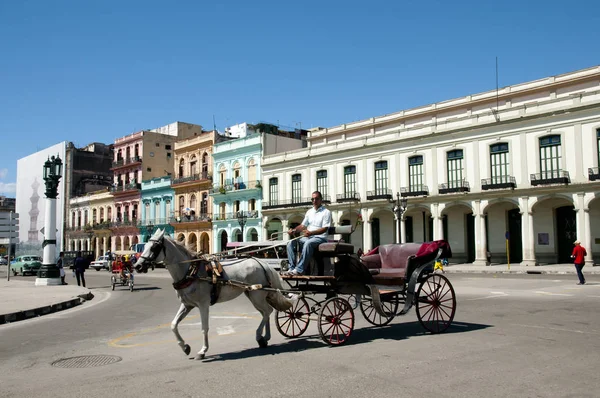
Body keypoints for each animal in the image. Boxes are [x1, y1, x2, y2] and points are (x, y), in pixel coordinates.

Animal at [136, 227, 296, 360]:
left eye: (154, 247)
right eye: (144, 245)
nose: (137, 266)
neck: (191, 271)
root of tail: (262, 263)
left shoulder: (203, 305)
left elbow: (204, 328)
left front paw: (202, 351)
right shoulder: (187, 305)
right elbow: (173, 325)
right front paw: (185, 347)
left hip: (257, 296)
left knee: (267, 311)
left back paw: (259, 336)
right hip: (253, 294)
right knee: (265, 313)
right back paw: (265, 338)